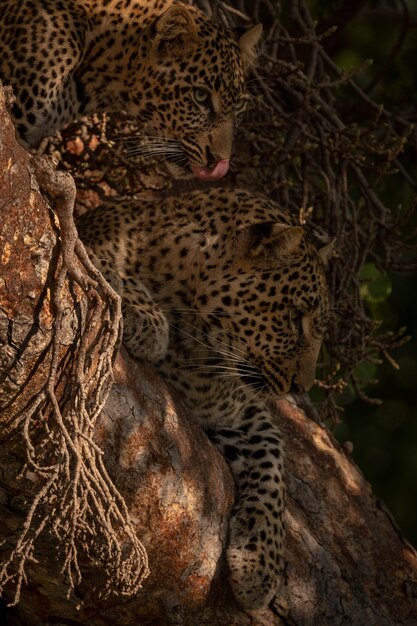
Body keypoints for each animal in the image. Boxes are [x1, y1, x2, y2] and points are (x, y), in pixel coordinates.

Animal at [78, 186, 332, 608]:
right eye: (295, 317)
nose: (302, 387)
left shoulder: (238, 411)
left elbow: (274, 464)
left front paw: (260, 564)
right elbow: (96, 258)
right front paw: (148, 320)